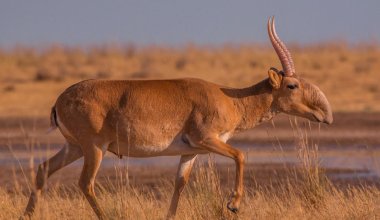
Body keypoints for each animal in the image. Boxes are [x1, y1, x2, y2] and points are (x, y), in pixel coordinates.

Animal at [23, 16, 332, 218]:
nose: (324, 116)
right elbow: (241, 155)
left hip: (74, 147)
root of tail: (60, 100)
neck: (229, 98)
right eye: (292, 85)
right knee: (85, 183)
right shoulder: (207, 140)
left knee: (42, 169)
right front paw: (233, 204)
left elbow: (179, 184)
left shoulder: (190, 152)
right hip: (94, 149)